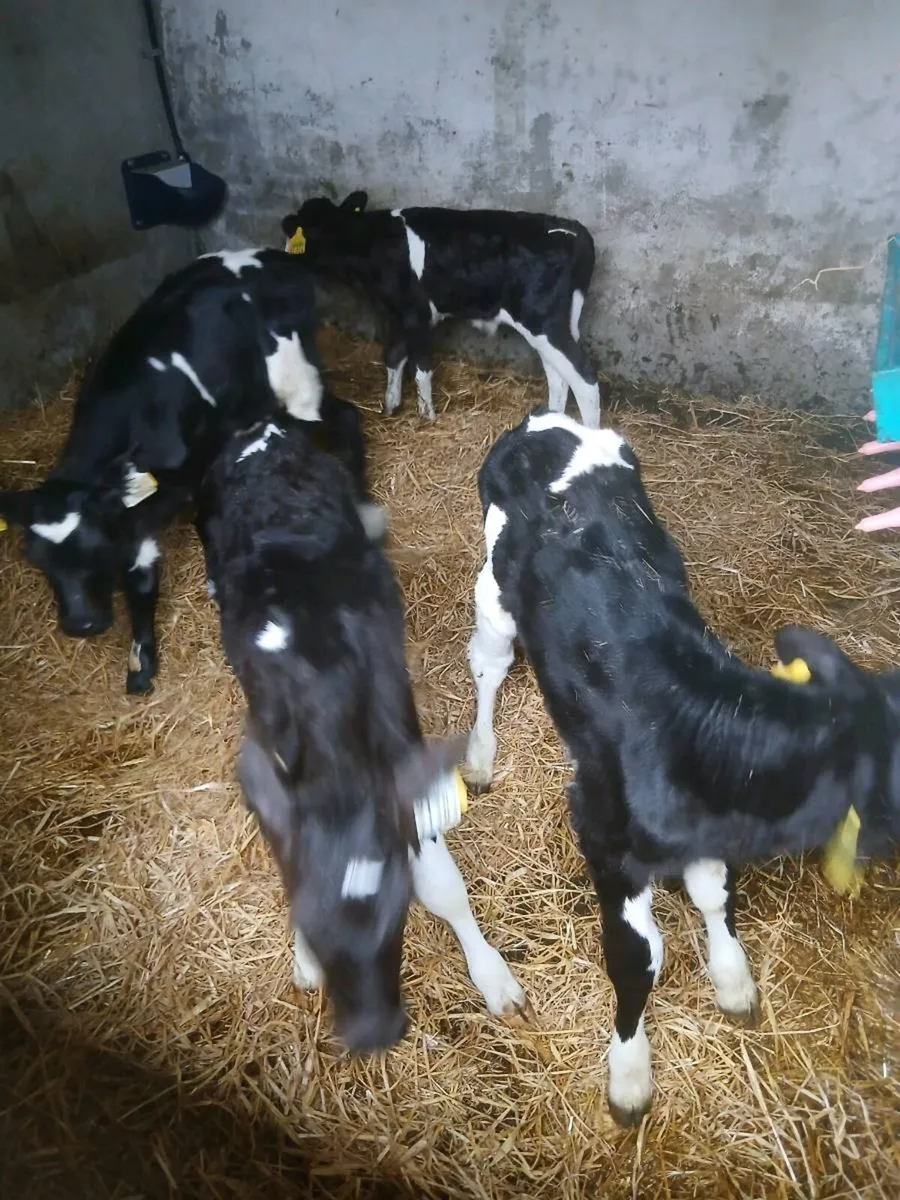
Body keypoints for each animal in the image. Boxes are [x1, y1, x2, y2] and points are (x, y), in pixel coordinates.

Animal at [0, 248, 384, 695]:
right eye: (36, 559)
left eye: (98, 548)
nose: (82, 623)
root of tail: (276, 257)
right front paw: (141, 663)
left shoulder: (179, 485)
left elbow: (154, 570)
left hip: (298, 385)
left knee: (347, 420)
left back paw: (364, 508)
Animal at [197, 415, 527, 1053]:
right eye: (313, 928)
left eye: (397, 918)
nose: (374, 1032)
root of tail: (263, 430)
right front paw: (303, 960)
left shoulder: (400, 759)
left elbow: (444, 886)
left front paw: (493, 976)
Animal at [280, 192, 604, 427]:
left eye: (307, 234)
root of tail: (572, 230)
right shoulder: (397, 313)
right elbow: (393, 356)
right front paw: (390, 406)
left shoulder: (419, 315)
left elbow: (422, 367)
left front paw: (427, 416)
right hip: (555, 324)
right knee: (559, 376)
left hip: (541, 322)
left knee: (585, 380)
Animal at [462, 409, 900, 1126]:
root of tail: (541, 422)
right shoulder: (605, 836)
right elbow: (639, 958)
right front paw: (630, 1074)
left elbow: (714, 892)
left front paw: (732, 976)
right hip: (494, 590)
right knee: (489, 665)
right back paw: (477, 754)